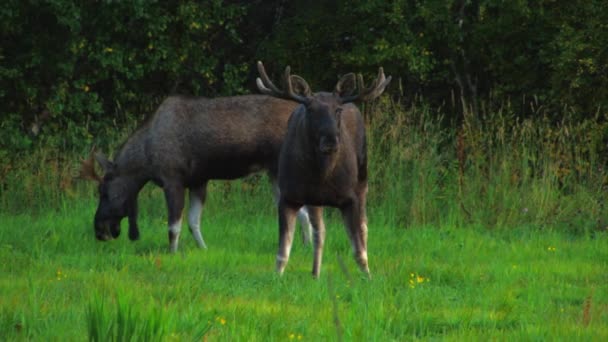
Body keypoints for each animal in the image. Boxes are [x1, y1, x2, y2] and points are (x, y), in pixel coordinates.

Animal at [78, 93, 316, 251]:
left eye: (104, 192)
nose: (99, 230)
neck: (145, 162)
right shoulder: (198, 181)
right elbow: (193, 222)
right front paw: (204, 249)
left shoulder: (172, 179)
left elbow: (174, 226)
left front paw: (172, 253)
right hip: (274, 173)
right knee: (300, 211)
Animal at [255, 60, 390, 276]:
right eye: (310, 110)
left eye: (338, 110)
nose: (330, 141)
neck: (322, 174)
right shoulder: (288, 196)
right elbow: (282, 252)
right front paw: (277, 278)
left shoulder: (349, 198)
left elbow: (358, 249)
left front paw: (368, 277)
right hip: (314, 200)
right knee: (321, 231)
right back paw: (315, 273)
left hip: (363, 178)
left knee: (364, 226)